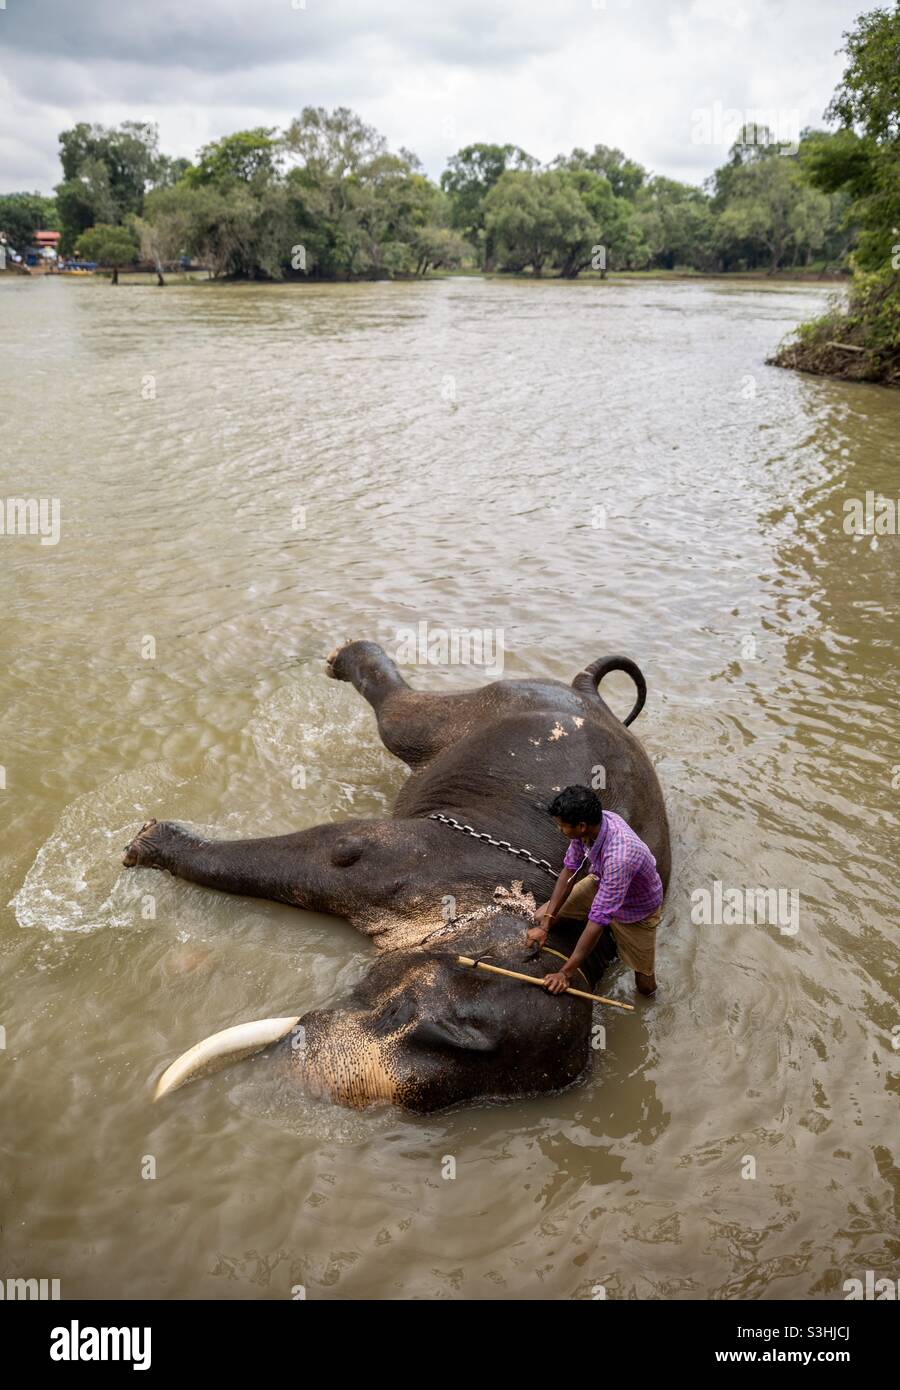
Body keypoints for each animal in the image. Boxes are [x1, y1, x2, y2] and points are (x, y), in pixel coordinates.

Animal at [124, 640, 671, 1113]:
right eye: (399, 1012)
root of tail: (587, 691)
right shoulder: (418, 861)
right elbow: (339, 853)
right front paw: (145, 843)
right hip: (487, 706)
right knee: (401, 719)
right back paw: (339, 657)